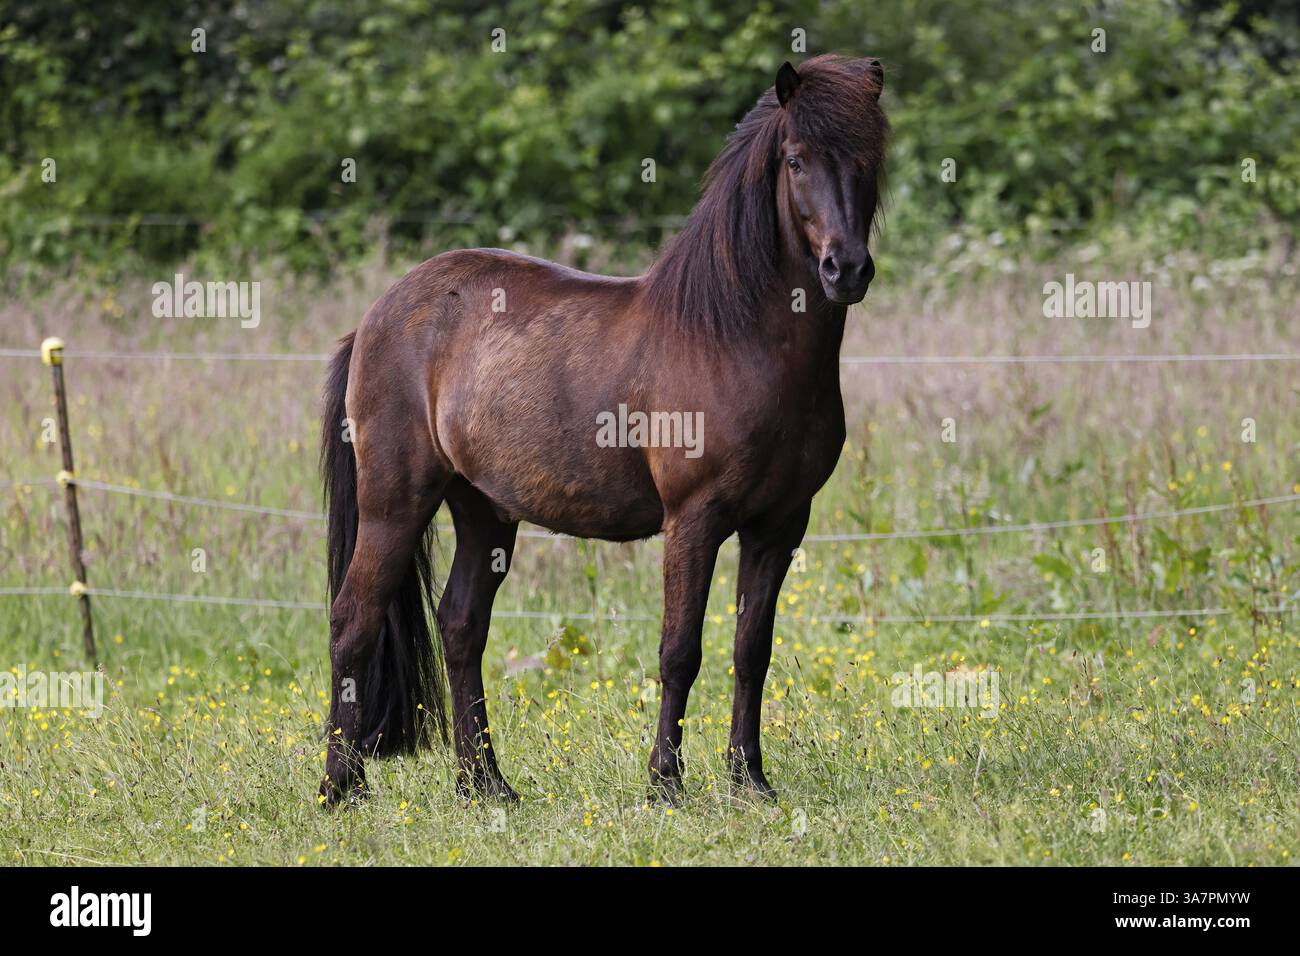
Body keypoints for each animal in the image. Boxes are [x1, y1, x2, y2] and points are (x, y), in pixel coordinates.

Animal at [319, 55, 888, 807]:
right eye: (795, 160)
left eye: (870, 157)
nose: (845, 269)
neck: (736, 338)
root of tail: (374, 320)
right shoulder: (694, 519)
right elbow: (681, 651)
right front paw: (665, 783)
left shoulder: (779, 525)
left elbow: (751, 652)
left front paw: (750, 781)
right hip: (395, 502)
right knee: (354, 620)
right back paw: (341, 787)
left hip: (483, 509)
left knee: (461, 626)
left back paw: (485, 784)